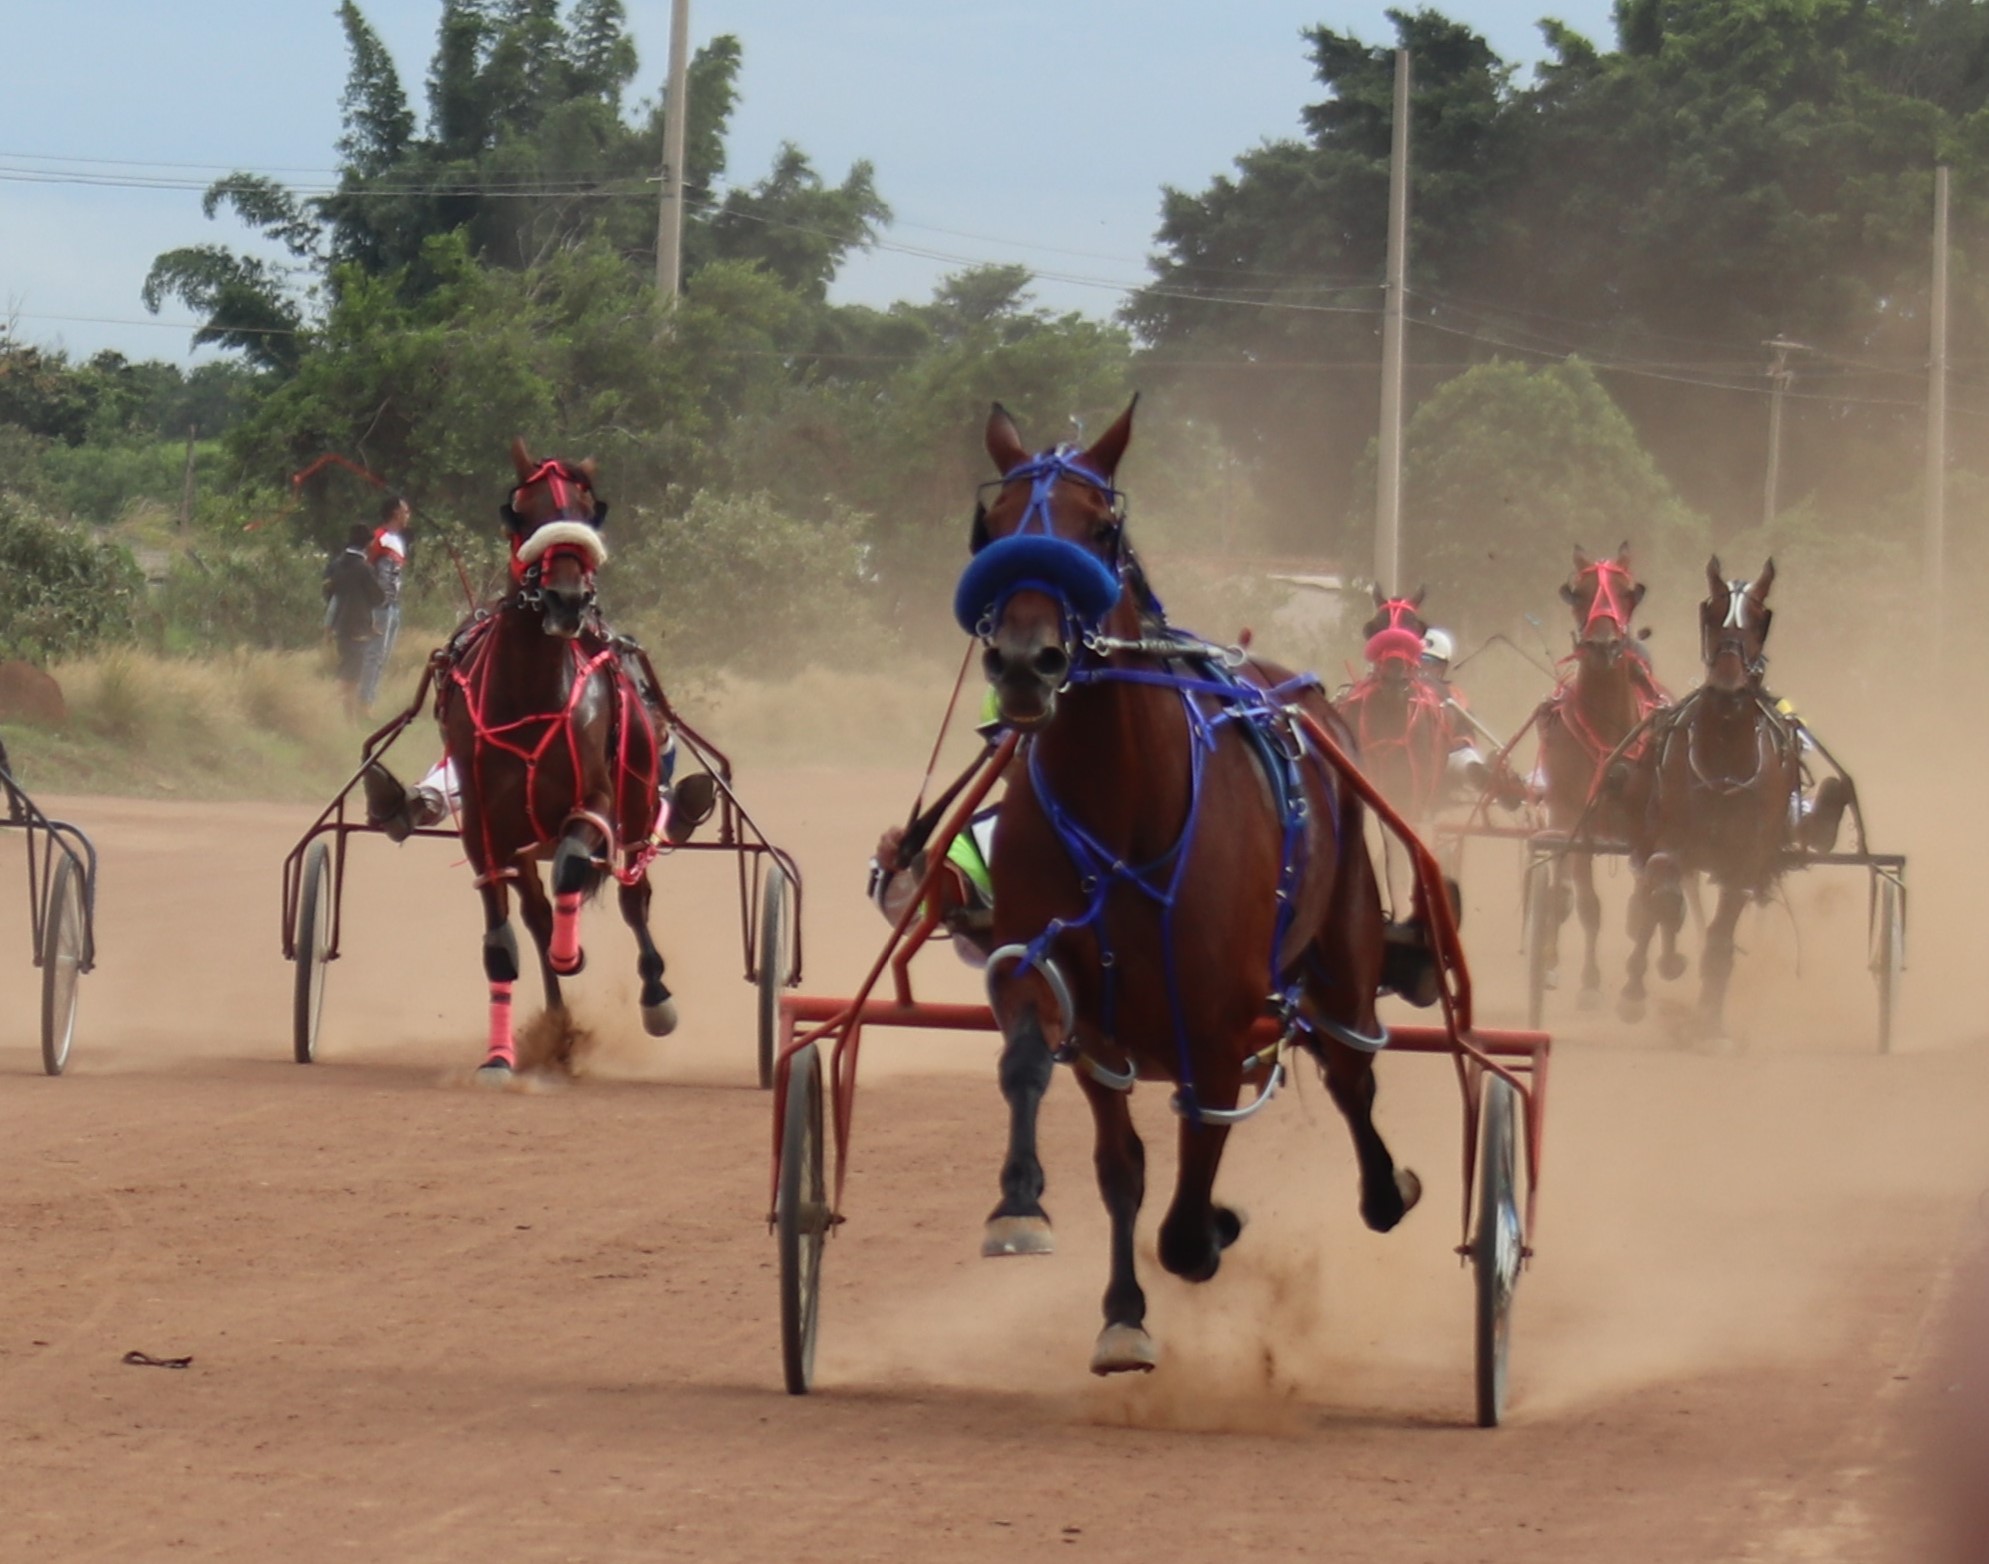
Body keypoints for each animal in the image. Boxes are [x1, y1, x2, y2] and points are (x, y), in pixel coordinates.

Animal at [437, 439, 678, 1077]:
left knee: (634, 897)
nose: (566, 599)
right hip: (523, 844)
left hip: (638, 801)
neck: (529, 694)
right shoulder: (484, 828)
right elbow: (501, 947)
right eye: (521, 512)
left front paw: (573, 955)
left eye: (590, 511)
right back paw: (556, 1023)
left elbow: (574, 863)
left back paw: (655, 994)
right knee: (537, 913)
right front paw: (499, 1058)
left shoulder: (596, 803)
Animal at [958, 399, 1423, 1374]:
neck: (1121, 809)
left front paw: (1207, 1232)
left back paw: (1384, 1185)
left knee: (1351, 1071)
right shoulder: (1074, 1002)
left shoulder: (1210, 1020)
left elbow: (1184, 1213)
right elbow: (1091, 1133)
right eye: (994, 526)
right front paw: (1042, 1230)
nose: (1025, 661)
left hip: (1343, 949)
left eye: (1100, 528)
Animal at [1530, 544, 1673, 1017]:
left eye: (1629, 592)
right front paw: (1591, 984)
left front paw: (1634, 988)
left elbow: (1648, 904)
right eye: (1577, 592)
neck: (1611, 733)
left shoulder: (1649, 826)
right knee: (1562, 889)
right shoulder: (1577, 819)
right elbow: (1588, 905)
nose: (1603, 645)